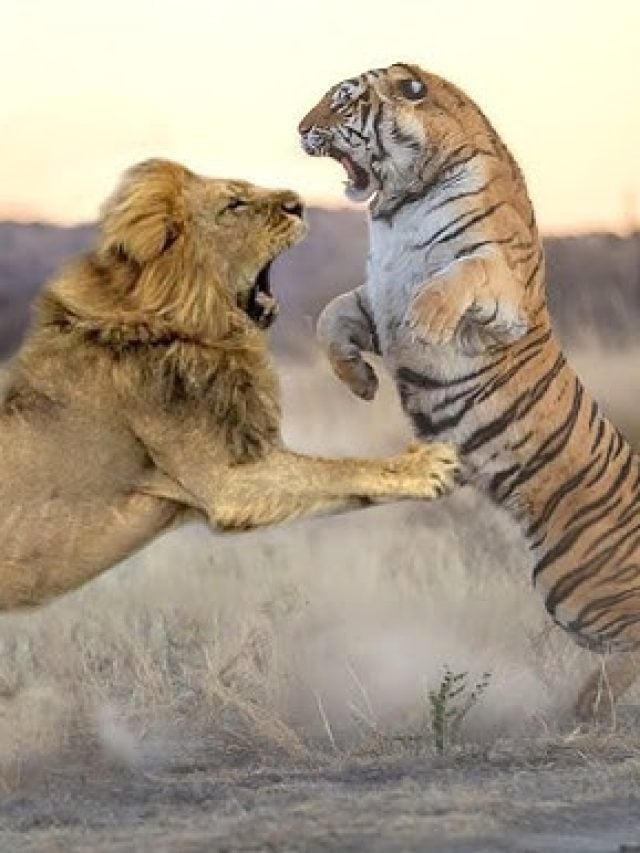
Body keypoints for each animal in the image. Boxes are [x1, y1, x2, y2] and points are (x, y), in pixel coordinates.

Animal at [298, 61, 640, 720]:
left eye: (343, 102)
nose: (299, 129)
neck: (399, 202)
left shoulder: (503, 293)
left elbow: (462, 274)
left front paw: (428, 321)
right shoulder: (373, 300)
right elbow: (330, 316)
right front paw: (358, 380)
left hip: (576, 586)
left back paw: (583, 709)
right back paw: (582, 704)